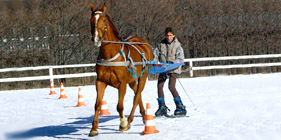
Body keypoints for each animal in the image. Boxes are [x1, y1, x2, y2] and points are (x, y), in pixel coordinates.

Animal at [88, 2, 153, 137]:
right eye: (91, 20)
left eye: (104, 20)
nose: (96, 38)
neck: (110, 56)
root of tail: (144, 43)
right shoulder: (100, 82)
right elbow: (97, 105)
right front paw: (94, 129)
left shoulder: (122, 84)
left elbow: (120, 106)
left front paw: (123, 124)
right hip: (132, 80)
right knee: (137, 94)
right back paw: (144, 116)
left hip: (143, 77)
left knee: (136, 97)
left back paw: (129, 121)